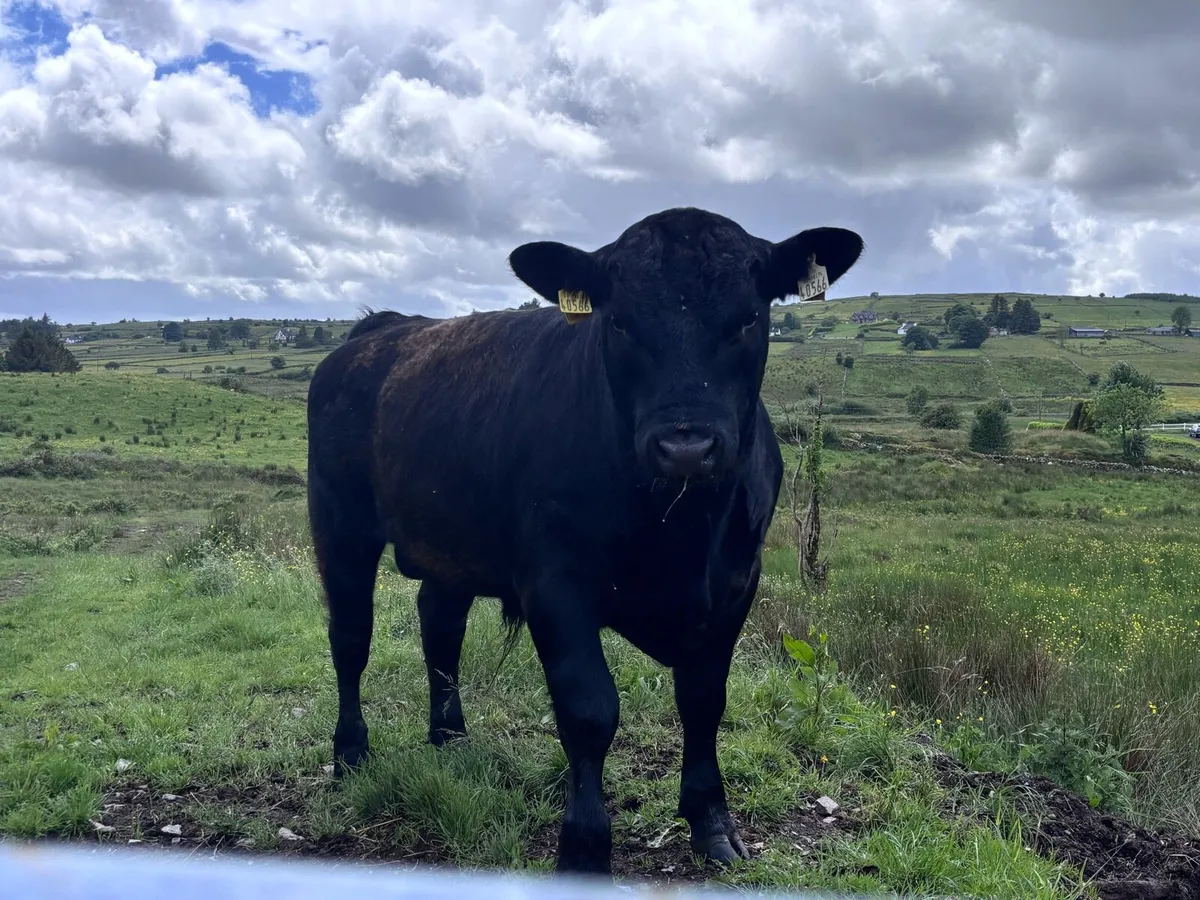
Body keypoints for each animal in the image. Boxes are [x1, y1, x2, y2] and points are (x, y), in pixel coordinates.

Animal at [306, 207, 864, 877]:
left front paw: (711, 822)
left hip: (452, 544)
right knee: (350, 640)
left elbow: (704, 701)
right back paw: (350, 753)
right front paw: (585, 845)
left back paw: (450, 738)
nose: (685, 447)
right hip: (340, 523)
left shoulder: (736, 583)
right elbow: (590, 709)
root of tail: (379, 329)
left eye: (750, 317)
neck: (680, 531)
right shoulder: (555, 585)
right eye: (618, 320)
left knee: (439, 627)